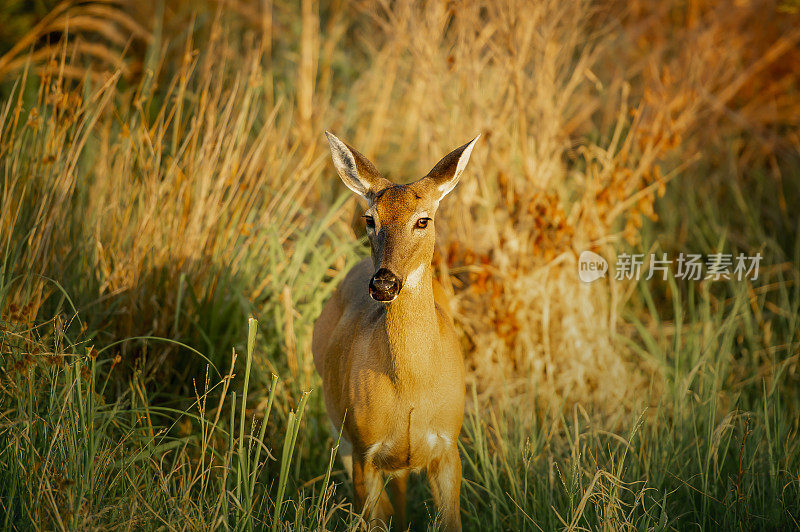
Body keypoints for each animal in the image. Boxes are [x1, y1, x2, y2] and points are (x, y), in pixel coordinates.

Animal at [310, 131, 476, 528]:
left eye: (423, 220)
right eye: (370, 219)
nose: (384, 284)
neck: (411, 389)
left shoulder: (448, 446)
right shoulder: (363, 450)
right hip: (340, 431)